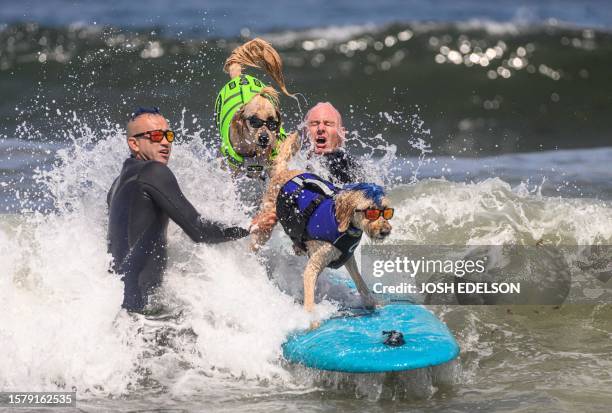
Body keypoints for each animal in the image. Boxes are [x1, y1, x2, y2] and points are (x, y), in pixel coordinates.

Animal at [252, 132, 392, 318]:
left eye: (387, 211)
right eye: (370, 211)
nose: (386, 231)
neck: (340, 222)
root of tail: (283, 172)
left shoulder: (348, 257)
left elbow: (361, 283)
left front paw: (372, 303)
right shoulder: (314, 265)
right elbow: (310, 294)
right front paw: (310, 316)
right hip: (265, 227)